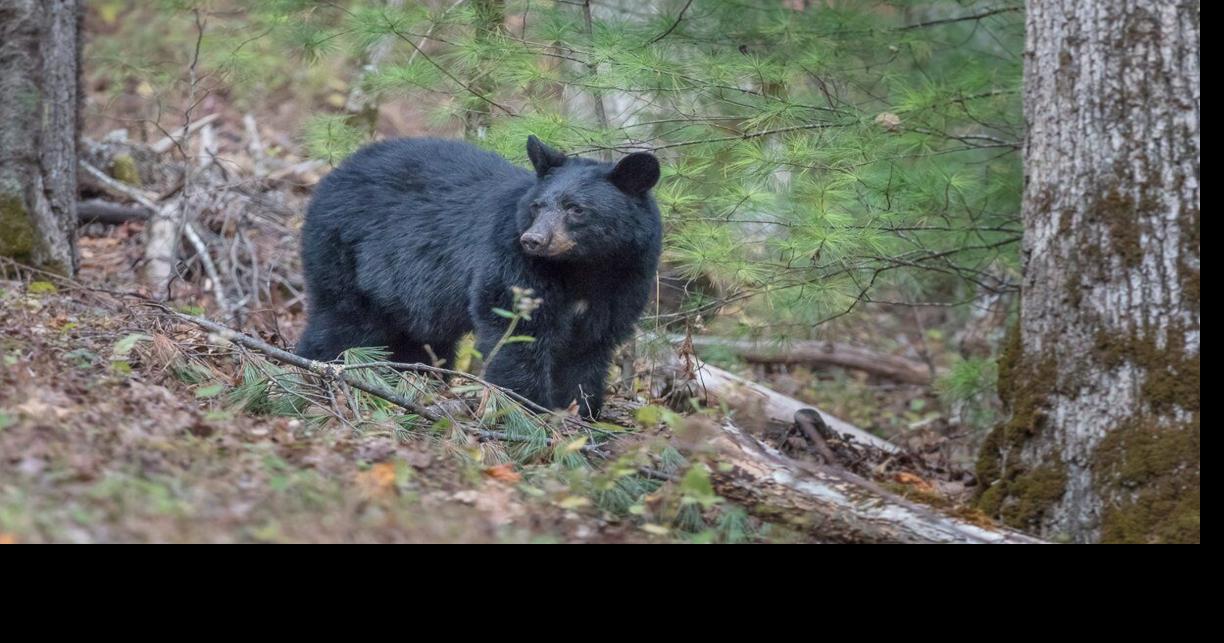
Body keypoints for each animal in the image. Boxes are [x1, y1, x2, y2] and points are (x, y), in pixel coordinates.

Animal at [297, 136, 663, 419]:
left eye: (577, 209)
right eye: (537, 206)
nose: (532, 240)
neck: (583, 267)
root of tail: (332, 176)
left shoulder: (623, 283)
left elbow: (587, 349)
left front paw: (579, 412)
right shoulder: (513, 262)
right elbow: (517, 335)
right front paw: (528, 410)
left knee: (419, 342)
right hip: (346, 262)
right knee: (340, 326)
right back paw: (315, 373)